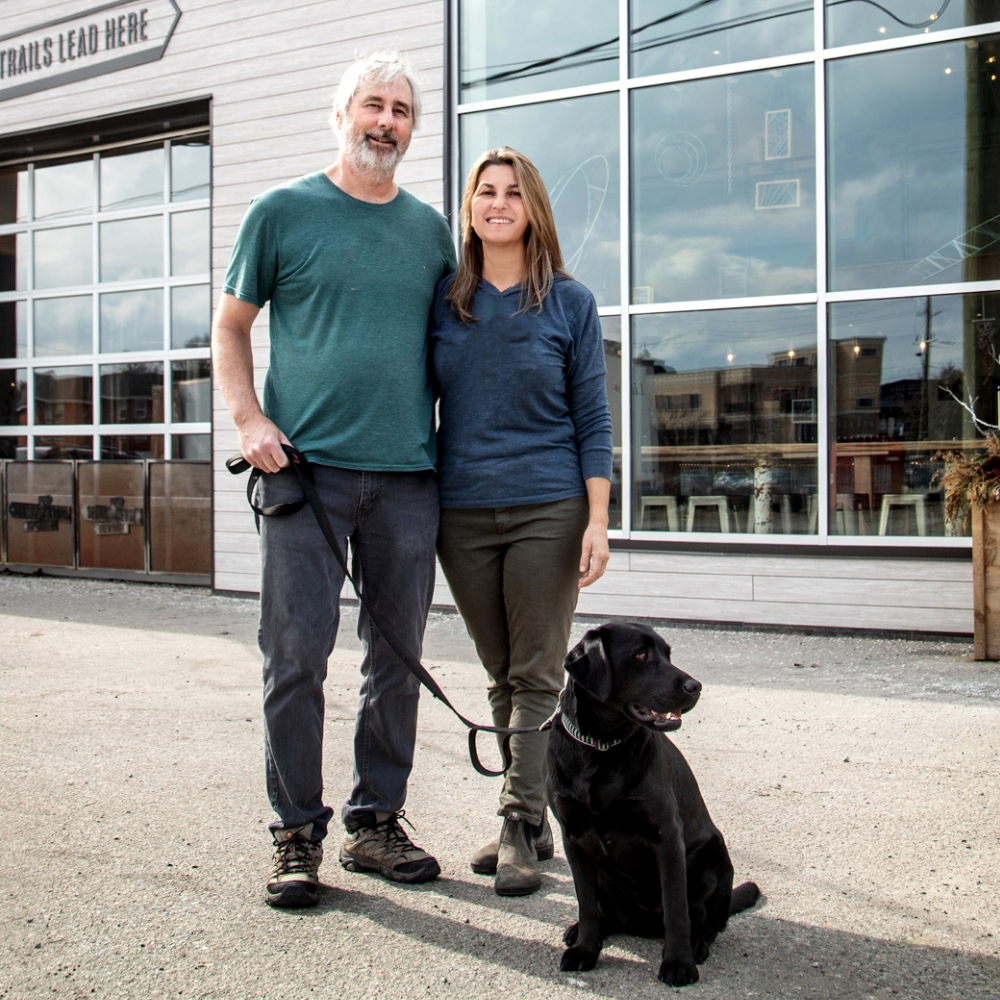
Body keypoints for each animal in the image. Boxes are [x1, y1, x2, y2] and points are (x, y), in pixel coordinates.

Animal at [548, 624, 756, 984]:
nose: (695, 686)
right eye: (641, 655)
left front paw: (678, 963)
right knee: (604, 913)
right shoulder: (573, 838)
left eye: (668, 655)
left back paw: (697, 944)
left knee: (707, 922)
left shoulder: (666, 836)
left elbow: (676, 909)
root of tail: (641, 924)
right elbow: (586, 903)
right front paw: (585, 949)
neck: (600, 749)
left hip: (713, 857)